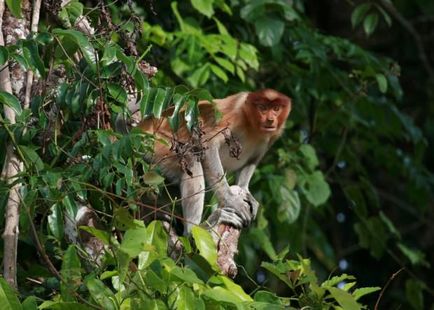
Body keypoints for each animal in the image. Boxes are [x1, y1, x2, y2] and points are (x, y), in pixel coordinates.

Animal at [137, 88, 290, 234]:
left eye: (276, 108)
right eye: (262, 108)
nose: (270, 120)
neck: (252, 125)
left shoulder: (272, 137)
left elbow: (252, 161)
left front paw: (246, 191)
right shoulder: (236, 115)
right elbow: (209, 145)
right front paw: (233, 201)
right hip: (155, 144)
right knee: (189, 158)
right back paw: (195, 229)